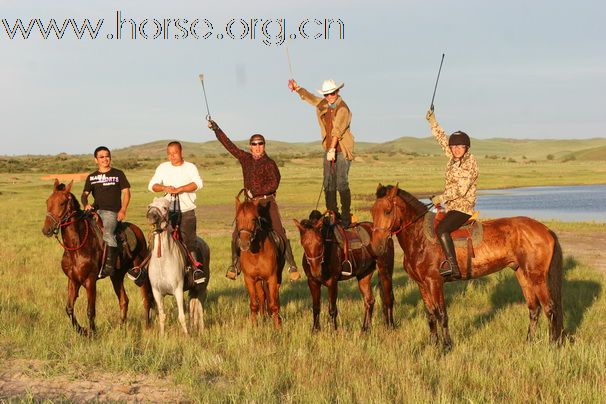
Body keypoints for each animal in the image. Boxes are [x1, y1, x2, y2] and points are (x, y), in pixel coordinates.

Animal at [41, 180, 154, 334]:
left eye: (62, 203)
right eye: (48, 201)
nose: (46, 229)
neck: (77, 248)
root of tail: (138, 231)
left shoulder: (90, 281)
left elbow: (90, 310)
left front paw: (92, 333)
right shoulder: (73, 280)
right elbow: (69, 308)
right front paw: (82, 330)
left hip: (139, 272)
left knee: (146, 299)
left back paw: (147, 327)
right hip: (116, 276)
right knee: (124, 300)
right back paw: (121, 327)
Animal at [147, 198, 211, 334]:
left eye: (165, 207)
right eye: (150, 206)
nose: (151, 215)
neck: (163, 261)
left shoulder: (178, 291)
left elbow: (181, 316)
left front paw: (186, 336)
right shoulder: (157, 293)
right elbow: (162, 316)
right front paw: (162, 335)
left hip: (202, 288)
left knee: (200, 309)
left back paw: (201, 330)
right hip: (193, 289)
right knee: (193, 308)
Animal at [236, 191, 286, 326]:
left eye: (253, 219)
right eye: (237, 219)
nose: (244, 244)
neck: (256, 254)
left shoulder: (272, 278)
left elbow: (273, 303)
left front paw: (277, 326)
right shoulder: (249, 279)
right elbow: (254, 304)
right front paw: (254, 325)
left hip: (277, 276)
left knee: (275, 296)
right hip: (258, 280)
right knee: (262, 296)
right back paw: (263, 317)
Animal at [370, 185, 564, 348]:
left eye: (387, 211)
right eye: (372, 212)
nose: (377, 247)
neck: (420, 238)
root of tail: (545, 230)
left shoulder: (435, 282)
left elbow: (442, 314)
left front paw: (446, 346)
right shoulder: (422, 284)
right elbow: (430, 315)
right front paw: (433, 344)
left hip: (537, 277)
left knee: (550, 308)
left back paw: (553, 344)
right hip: (522, 275)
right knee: (534, 308)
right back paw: (529, 341)